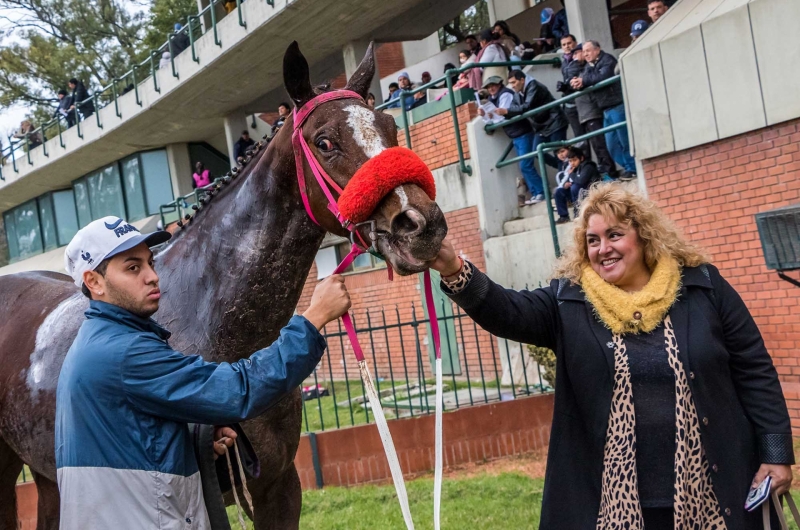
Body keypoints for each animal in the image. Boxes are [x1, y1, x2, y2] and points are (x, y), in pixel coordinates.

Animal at [0, 42, 446, 528]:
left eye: (389, 127)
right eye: (325, 142)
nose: (420, 225)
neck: (216, 327)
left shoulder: (277, 487)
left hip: (49, 476)